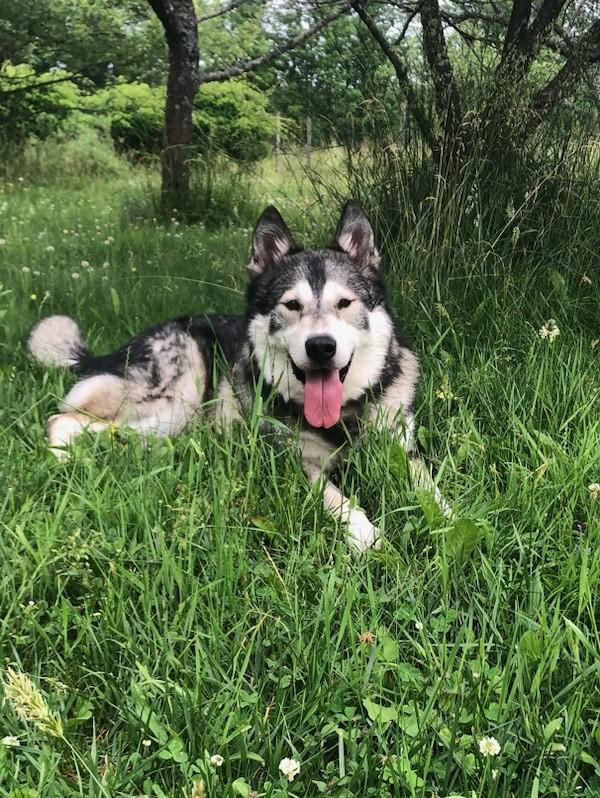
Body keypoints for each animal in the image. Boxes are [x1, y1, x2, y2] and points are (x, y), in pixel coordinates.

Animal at [28, 201, 449, 552]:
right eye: (291, 305)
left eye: (345, 303)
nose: (321, 347)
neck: (342, 417)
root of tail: (123, 346)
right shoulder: (294, 464)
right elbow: (338, 500)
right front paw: (366, 535)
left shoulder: (401, 447)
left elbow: (429, 486)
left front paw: (448, 518)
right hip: (175, 398)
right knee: (60, 418)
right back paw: (62, 463)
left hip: (166, 421)